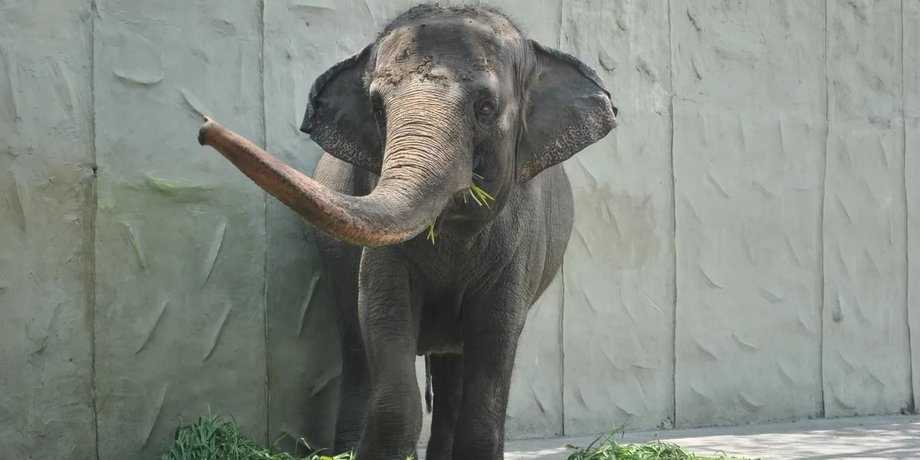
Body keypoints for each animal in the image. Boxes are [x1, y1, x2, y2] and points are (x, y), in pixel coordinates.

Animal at [198, 4, 617, 459]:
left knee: (454, 364)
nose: (204, 126)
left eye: (486, 108)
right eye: (377, 108)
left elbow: (497, 332)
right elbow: (383, 314)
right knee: (356, 341)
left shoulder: (521, 239)